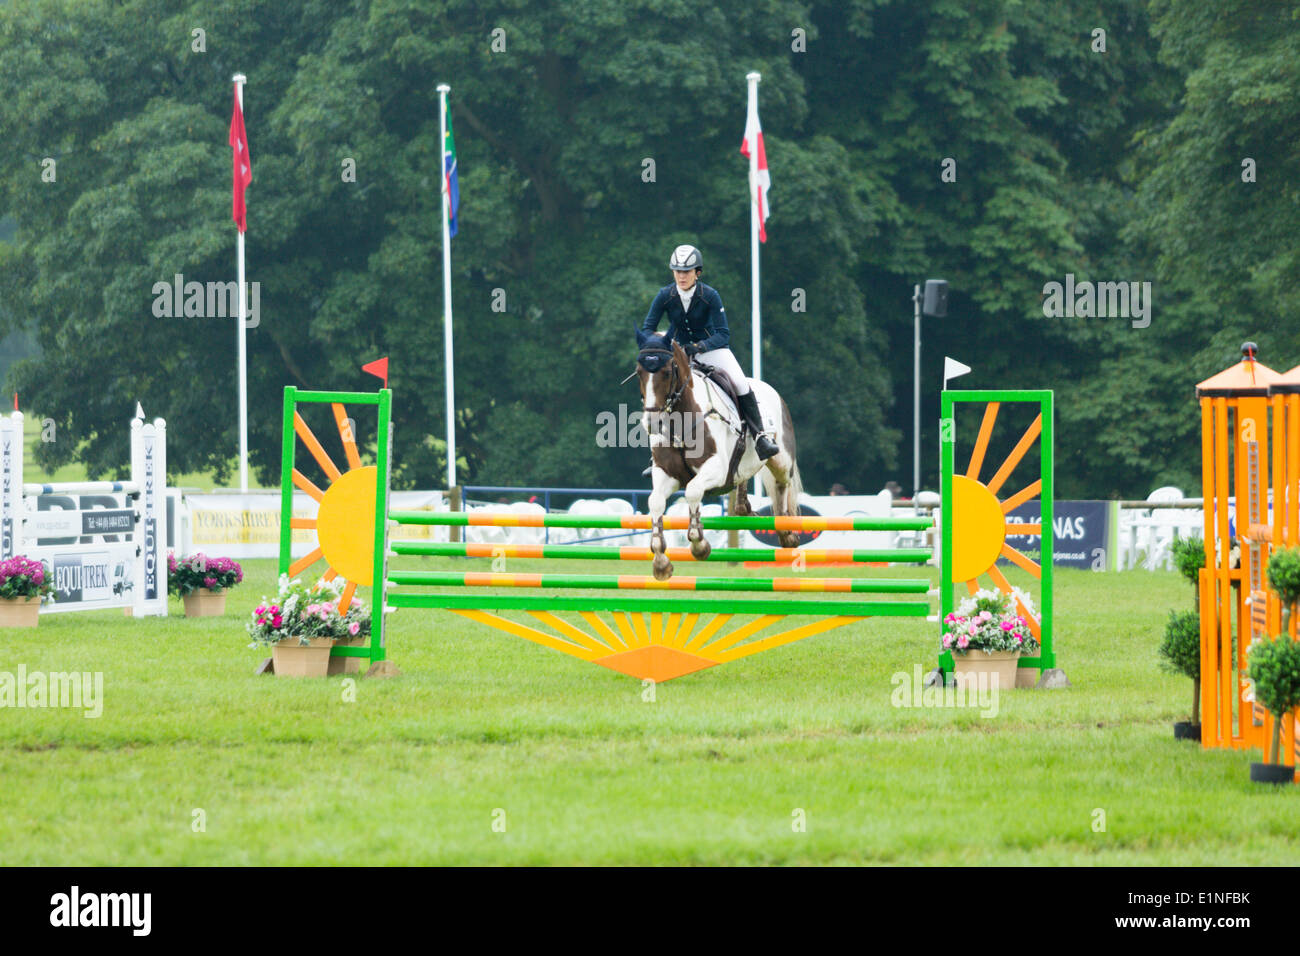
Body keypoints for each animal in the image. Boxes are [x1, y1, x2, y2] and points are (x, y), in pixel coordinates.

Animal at [631, 332, 800, 580]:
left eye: (667, 372)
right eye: (639, 373)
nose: (652, 423)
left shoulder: (715, 470)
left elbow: (692, 491)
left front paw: (699, 545)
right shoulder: (666, 473)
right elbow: (655, 502)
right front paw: (661, 562)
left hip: (781, 459)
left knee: (782, 485)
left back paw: (787, 532)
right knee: (744, 481)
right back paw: (744, 507)